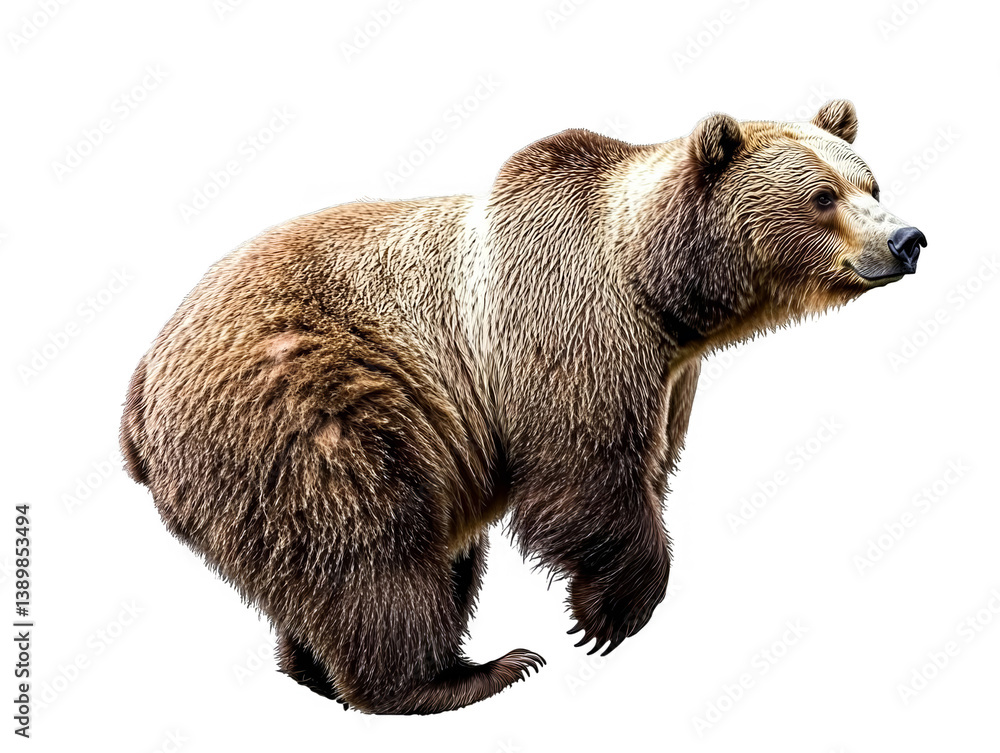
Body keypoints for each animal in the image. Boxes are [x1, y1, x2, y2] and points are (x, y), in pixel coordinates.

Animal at [120, 100, 926, 714]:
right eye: (822, 195)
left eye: (871, 180)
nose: (906, 238)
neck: (664, 294)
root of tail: (139, 392)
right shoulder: (571, 327)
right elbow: (586, 471)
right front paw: (607, 615)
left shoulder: (672, 376)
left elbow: (645, 467)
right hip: (310, 406)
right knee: (372, 551)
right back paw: (462, 675)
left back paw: (322, 673)